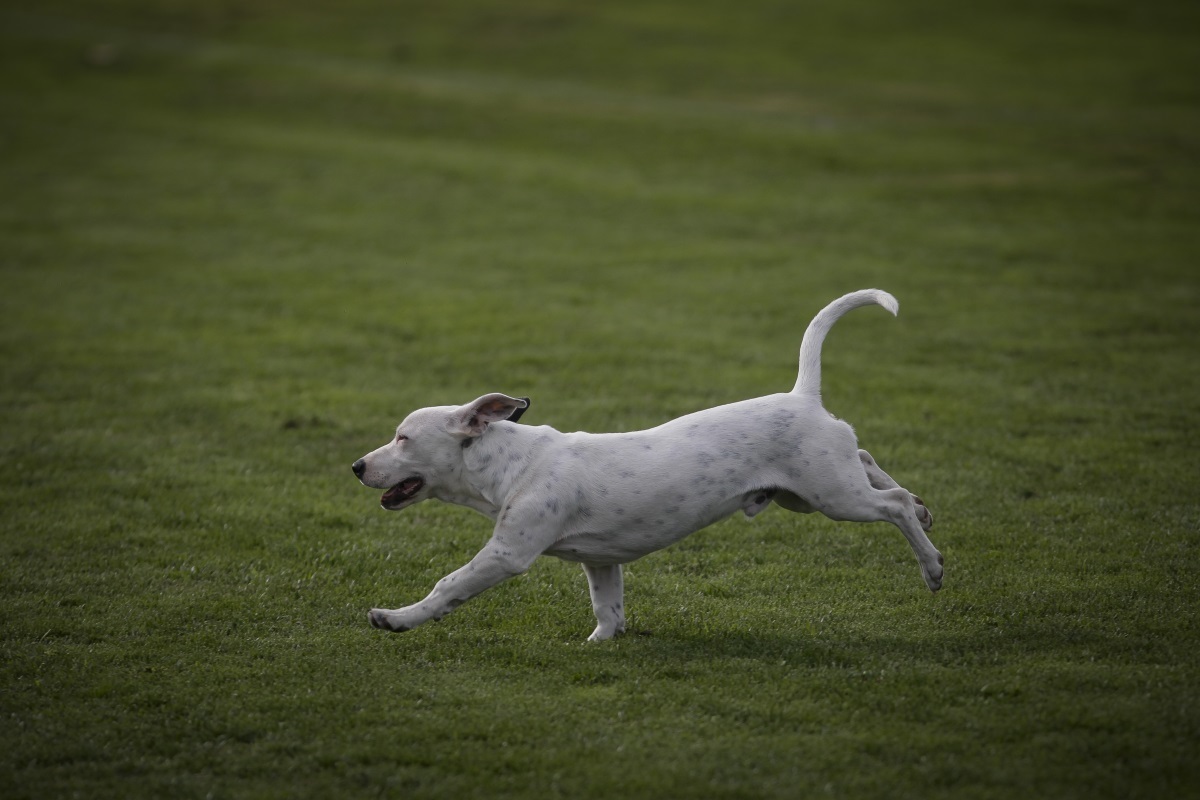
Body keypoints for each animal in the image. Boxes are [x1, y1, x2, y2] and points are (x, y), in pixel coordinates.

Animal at [350, 291, 940, 642]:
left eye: (403, 438)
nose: (356, 466)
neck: (511, 464)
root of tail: (804, 396)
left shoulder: (507, 553)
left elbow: (448, 586)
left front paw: (394, 618)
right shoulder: (600, 561)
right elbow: (608, 612)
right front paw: (600, 644)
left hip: (834, 498)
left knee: (892, 504)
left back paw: (932, 564)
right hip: (810, 493)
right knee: (866, 458)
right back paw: (924, 511)